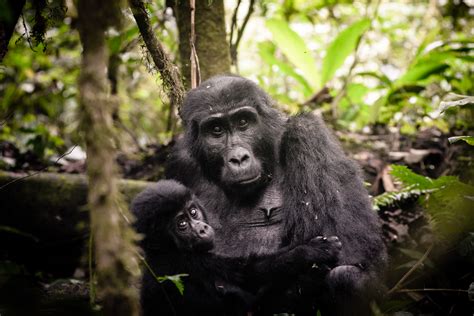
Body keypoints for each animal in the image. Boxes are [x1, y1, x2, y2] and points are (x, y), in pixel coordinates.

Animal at [131, 180, 342, 316]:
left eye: (193, 212)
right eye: (182, 224)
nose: (202, 229)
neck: (163, 250)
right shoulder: (187, 262)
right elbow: (248, 276)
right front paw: (311, 251)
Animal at [165, 74, 386, 314]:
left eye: (243, 122)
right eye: (216, 129)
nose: (238, 159)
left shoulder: (308, 134)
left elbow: (352, 248)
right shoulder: (179, 163)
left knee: (345, 276)